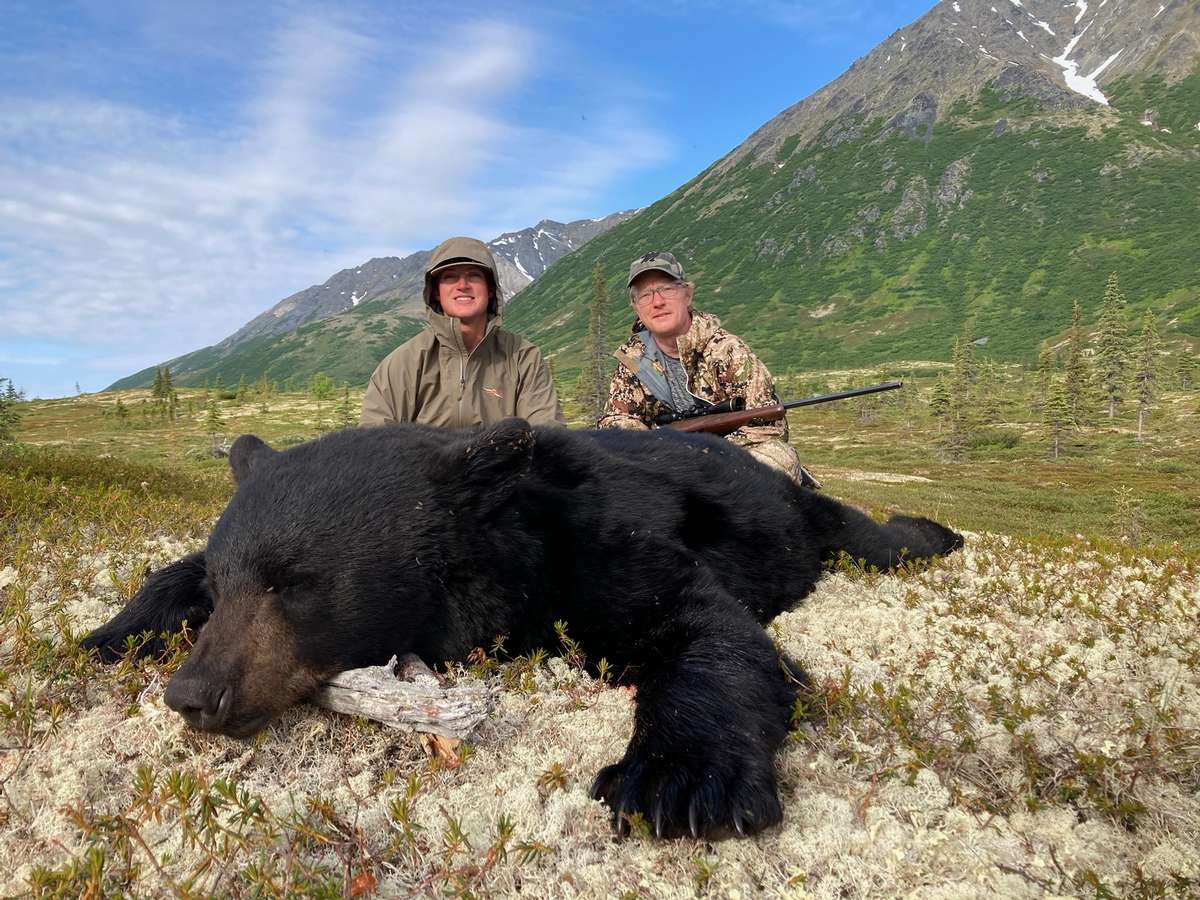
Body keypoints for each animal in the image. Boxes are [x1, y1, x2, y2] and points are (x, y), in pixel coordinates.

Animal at [83, 419, 962, 839]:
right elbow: (170, 570)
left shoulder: (604, 545)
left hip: (801, 519)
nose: (194, 694)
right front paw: (113, 629)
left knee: (865, 534)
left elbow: (708, 629)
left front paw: (677, 777)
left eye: (295, 583)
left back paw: (936, 531)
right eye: (227, 583)